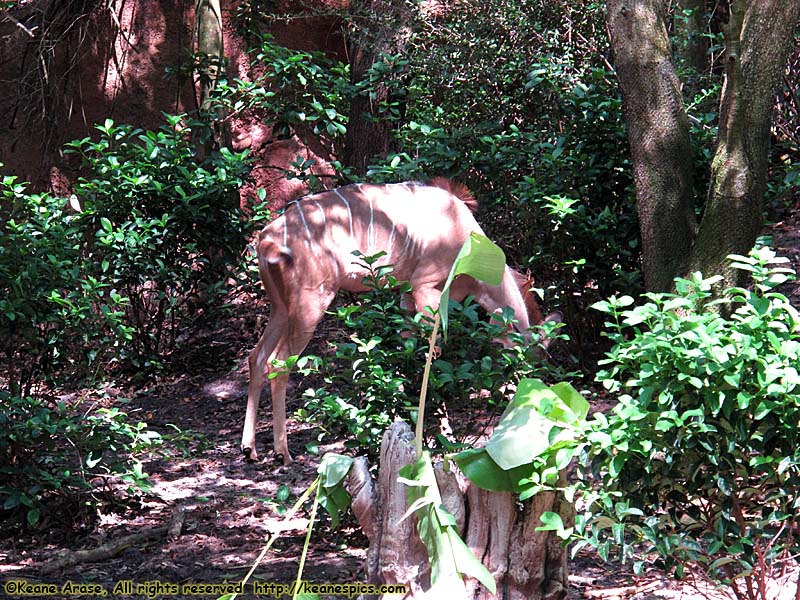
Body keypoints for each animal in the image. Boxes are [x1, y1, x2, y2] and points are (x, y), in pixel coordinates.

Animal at [241, 178, 560, 464]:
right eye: (530, 362)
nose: (532, 399)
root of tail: (266, 239)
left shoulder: (407, 296)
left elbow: (408, 355)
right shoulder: (425, 288)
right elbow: (433, 355)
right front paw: (440, 434)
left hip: (281, 307)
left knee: (256, 356)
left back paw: (249, 449)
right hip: (311, 301)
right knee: (278, 362)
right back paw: (282, 453)